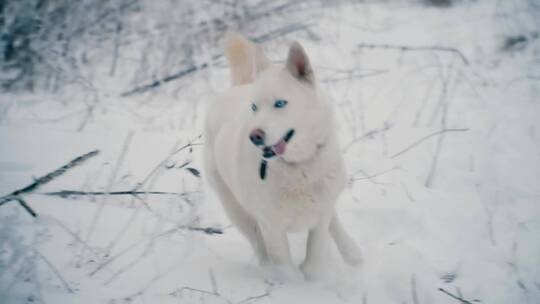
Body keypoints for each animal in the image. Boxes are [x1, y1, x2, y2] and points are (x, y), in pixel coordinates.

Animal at [205, 33, 360, 280]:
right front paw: (291, 282)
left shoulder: (320, 215)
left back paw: (352, 252)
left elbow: (316, 252)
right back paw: (268, 271)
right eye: (254, 107)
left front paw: (312, 274)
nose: (255, 136)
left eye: (280, 103)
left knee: (333, 220)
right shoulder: (271, 226)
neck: (297, 167)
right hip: (236, 210)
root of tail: (239, 87)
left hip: (326, 195)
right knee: (258, 246)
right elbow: (285, 266)